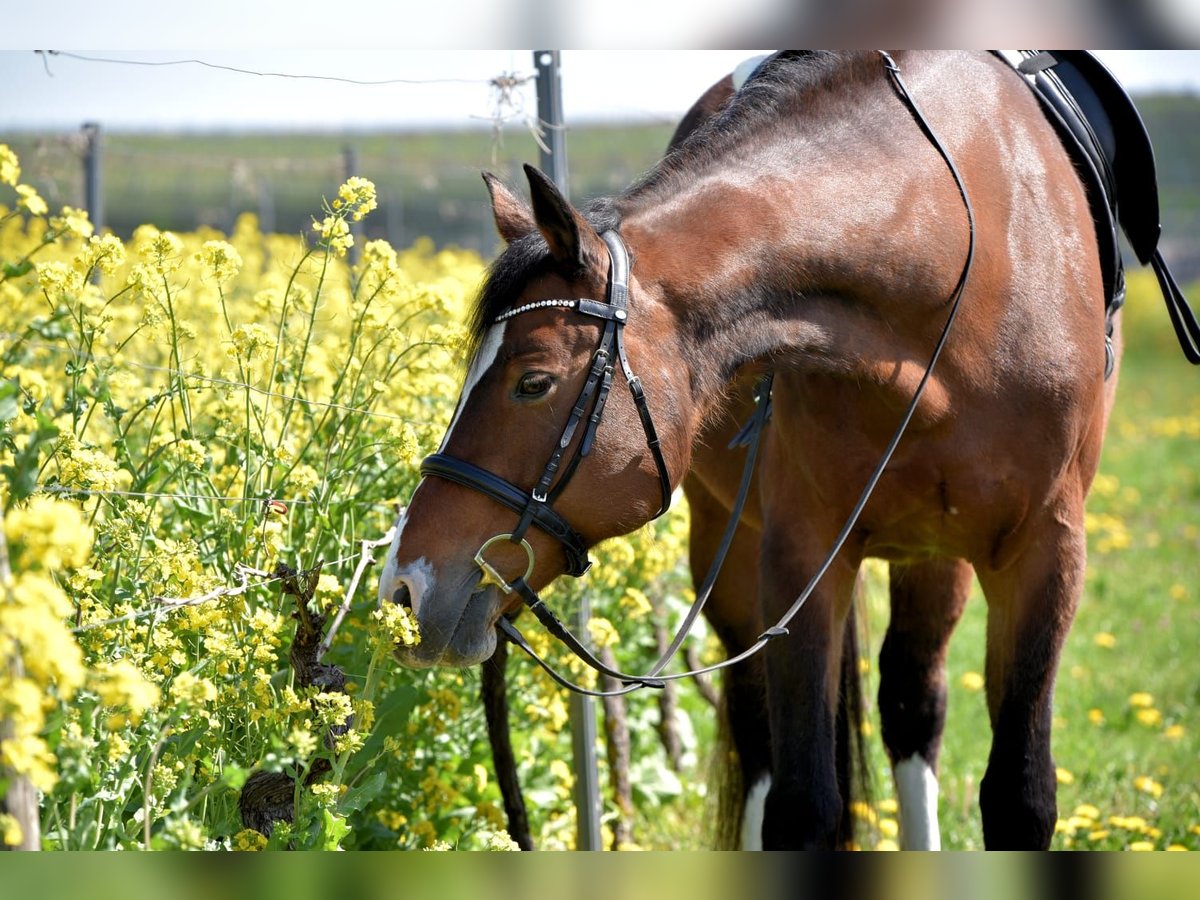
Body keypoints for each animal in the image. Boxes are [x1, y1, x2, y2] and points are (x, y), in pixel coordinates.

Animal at [379, 52, 1118, 849]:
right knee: (763, 725)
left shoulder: (1047, 552)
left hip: (933, 552)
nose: (404, 588)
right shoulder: (800, 553)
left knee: (912, 703)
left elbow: (1020, 796)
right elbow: (802, 803)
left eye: (533, 381)